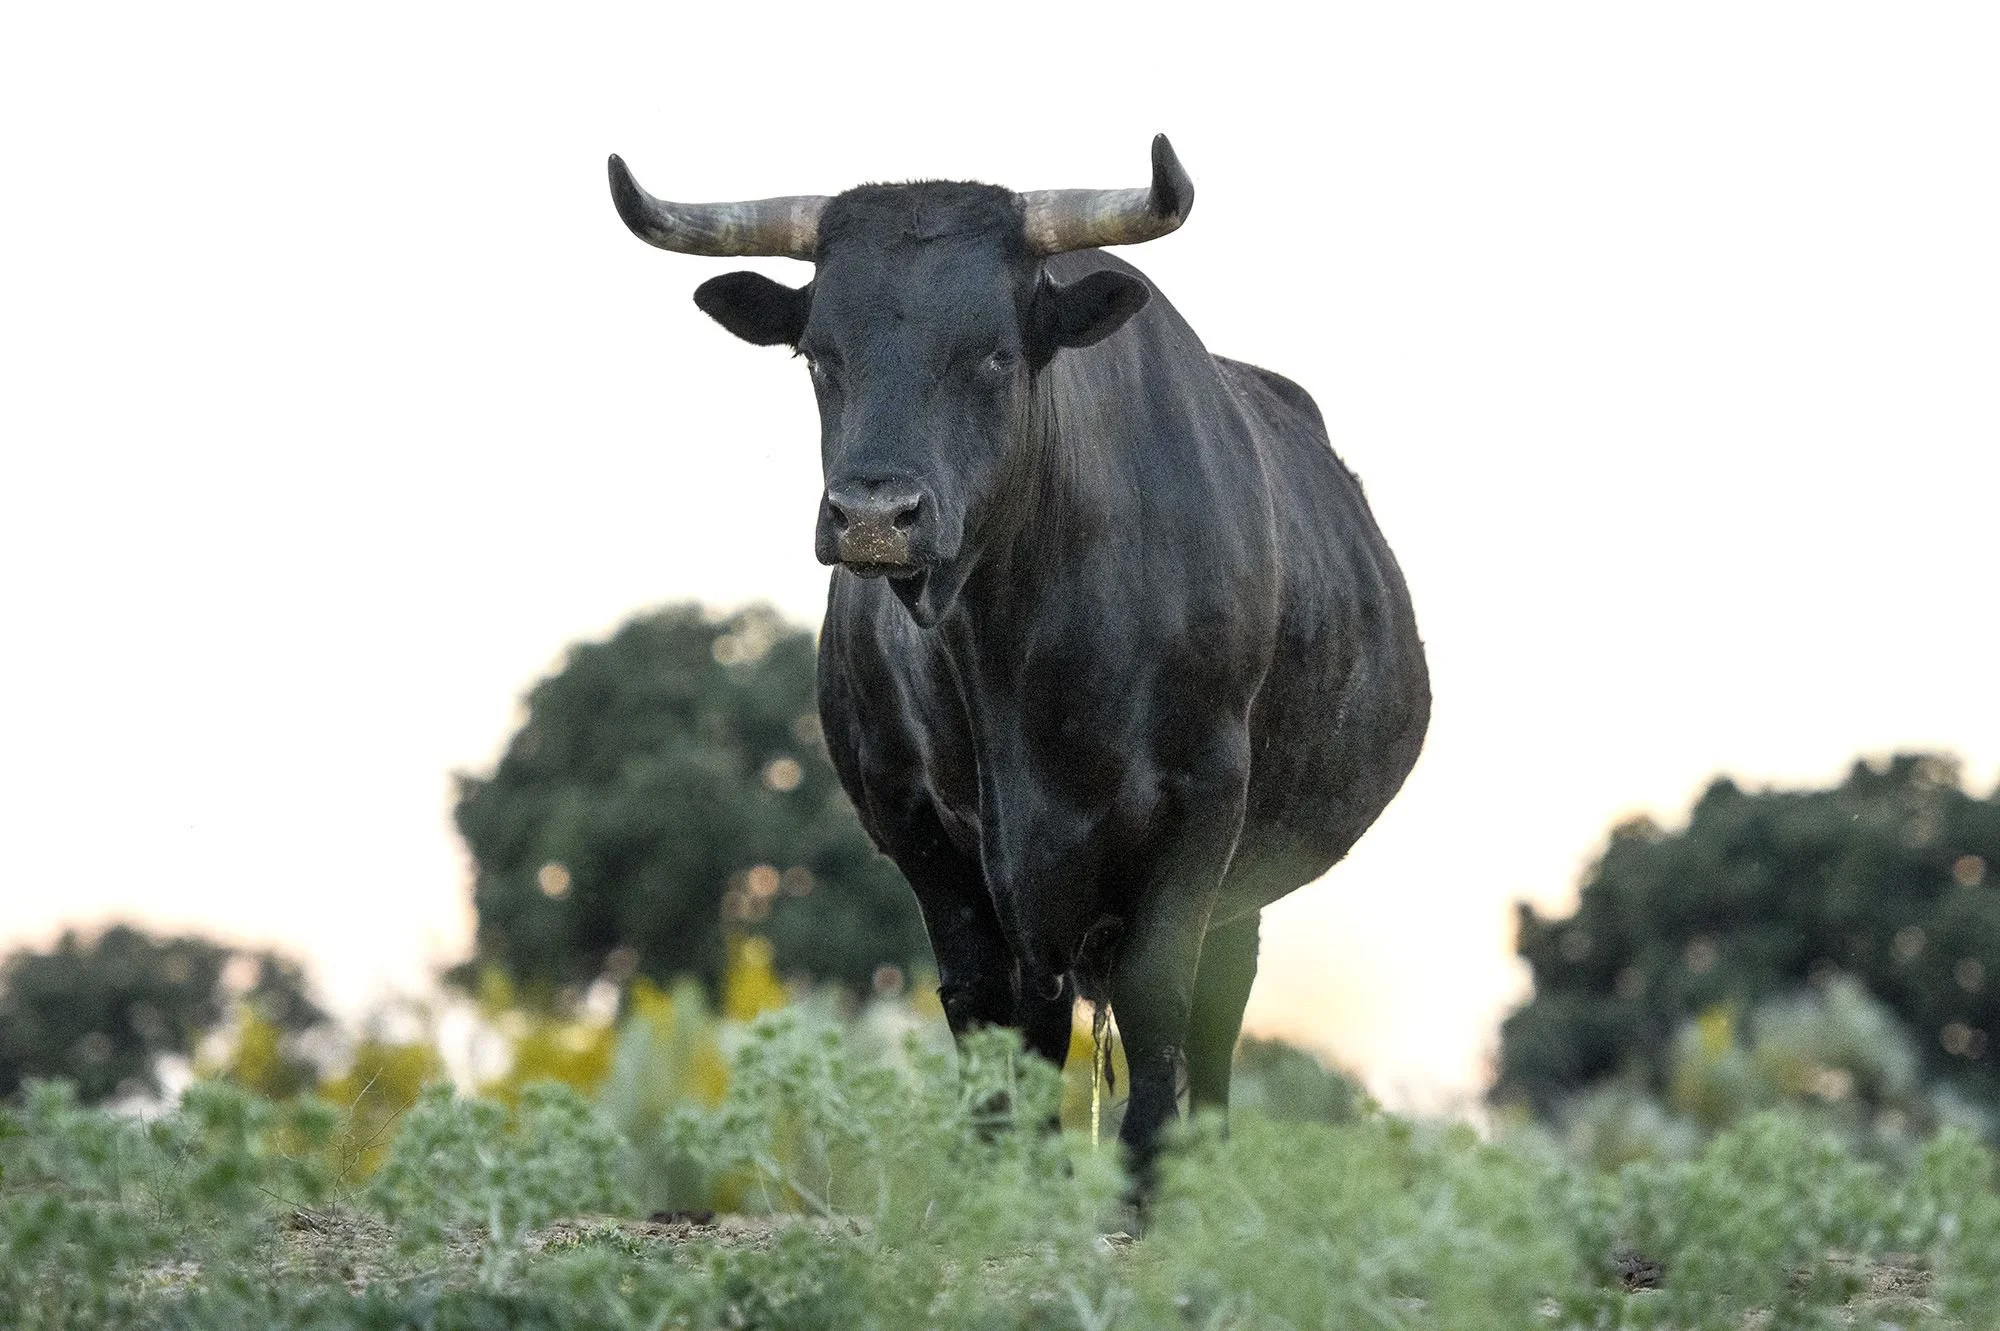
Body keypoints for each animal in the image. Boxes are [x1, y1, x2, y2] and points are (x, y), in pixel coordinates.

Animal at [608, 136, 1430, 1184]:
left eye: (993, 353)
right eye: (818, 355)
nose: (872, 516)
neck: (1016, 654)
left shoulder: (1202, 809)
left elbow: (1161, 1005)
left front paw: (1146, 1192)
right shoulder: (923, 832)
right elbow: (988, 1015)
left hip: (1244, 866)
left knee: (1219, 1010)